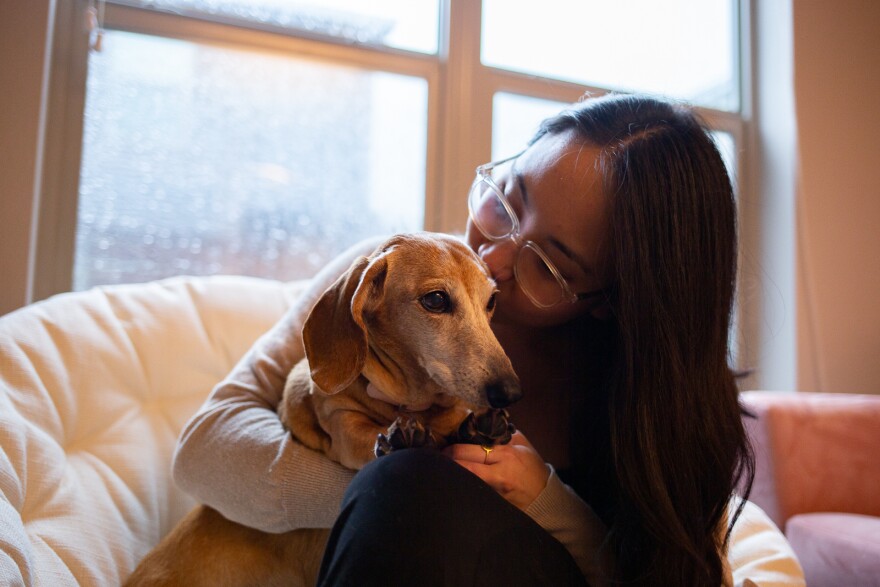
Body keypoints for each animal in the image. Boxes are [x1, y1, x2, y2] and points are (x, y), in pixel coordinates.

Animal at [124, 234, 524, 587]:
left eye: (491, 301)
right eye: (436, 300)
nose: (511, 392)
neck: (409, 402)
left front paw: (476, 428)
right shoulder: (342, 427)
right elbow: (368, 436)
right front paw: (402, 440)